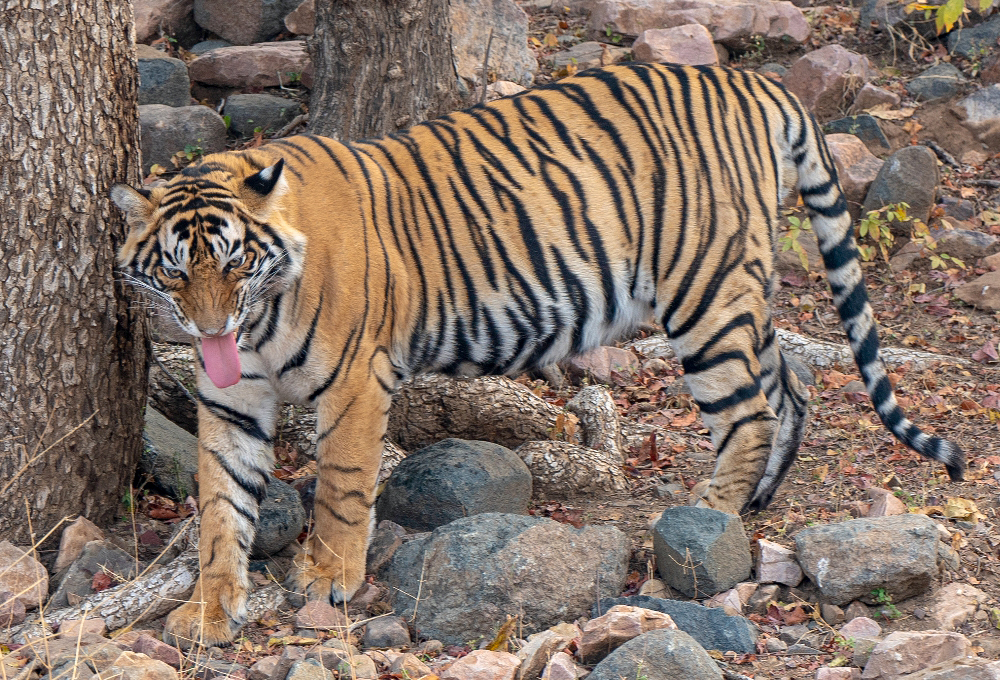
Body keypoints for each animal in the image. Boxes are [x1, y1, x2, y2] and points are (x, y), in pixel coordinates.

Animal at [113, 63, 964, 648]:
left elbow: (344, 488)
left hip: (706, 291)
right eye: (177, 270)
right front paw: (208, 608)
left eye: (236, 262)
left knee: (749, 411)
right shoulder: (231, 400)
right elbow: (222, 505)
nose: (210, 330)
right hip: (735, 299)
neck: (259, 323)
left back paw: (711, 516)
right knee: (791, 383)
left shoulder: (354, 382)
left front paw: (329, 577)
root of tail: (754, 81)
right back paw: (756, 499)